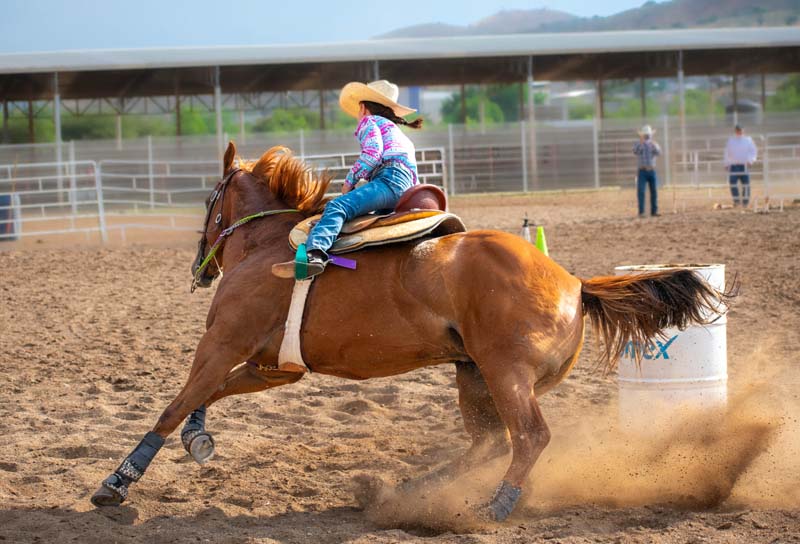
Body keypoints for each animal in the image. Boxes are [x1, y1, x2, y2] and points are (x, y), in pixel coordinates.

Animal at [90, 142, 728, 520]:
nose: (200, 267)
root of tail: (573, 282)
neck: (268, 245)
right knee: (489, 443)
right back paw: (410, 492)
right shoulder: (273, 368)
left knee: (529, 438)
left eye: (209, 199)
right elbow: (209, 396)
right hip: (473, 375)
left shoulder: (222, 343)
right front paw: (199, 439)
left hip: (505, 374)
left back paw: (492, 508)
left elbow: (174, 405)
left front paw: (116, 483)